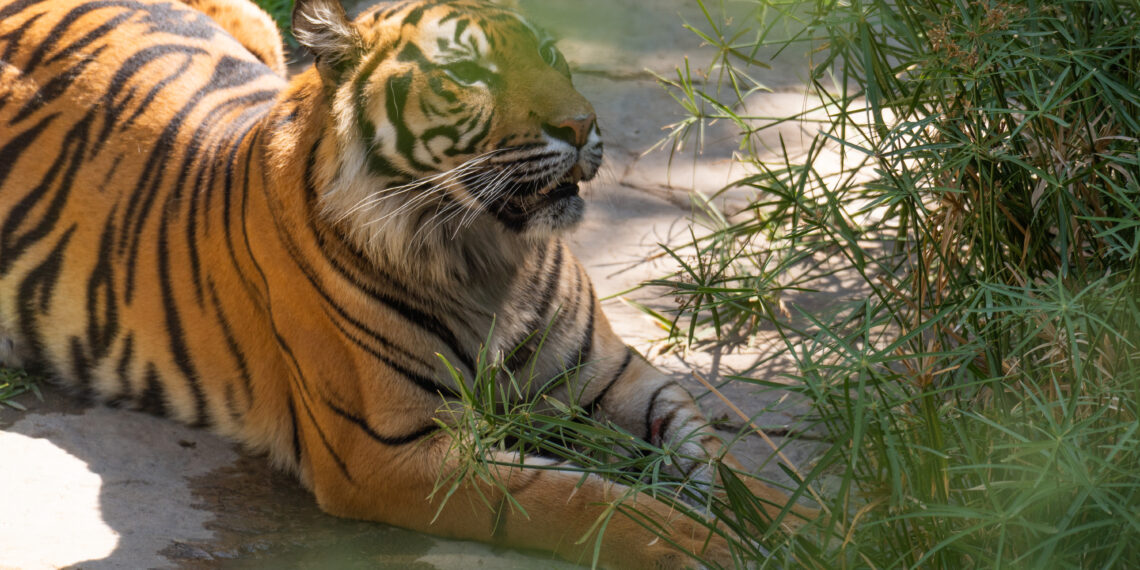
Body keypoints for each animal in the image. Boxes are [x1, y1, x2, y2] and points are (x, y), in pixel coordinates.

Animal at [0, 0, 812, 567]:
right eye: (470, 76)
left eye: (553, 55)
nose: (582, 126)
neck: (490, 257)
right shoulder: (396, 453)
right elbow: (586, 499)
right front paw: (716, 549)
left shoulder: (612, 383)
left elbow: (723, 464)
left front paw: (817, 520)